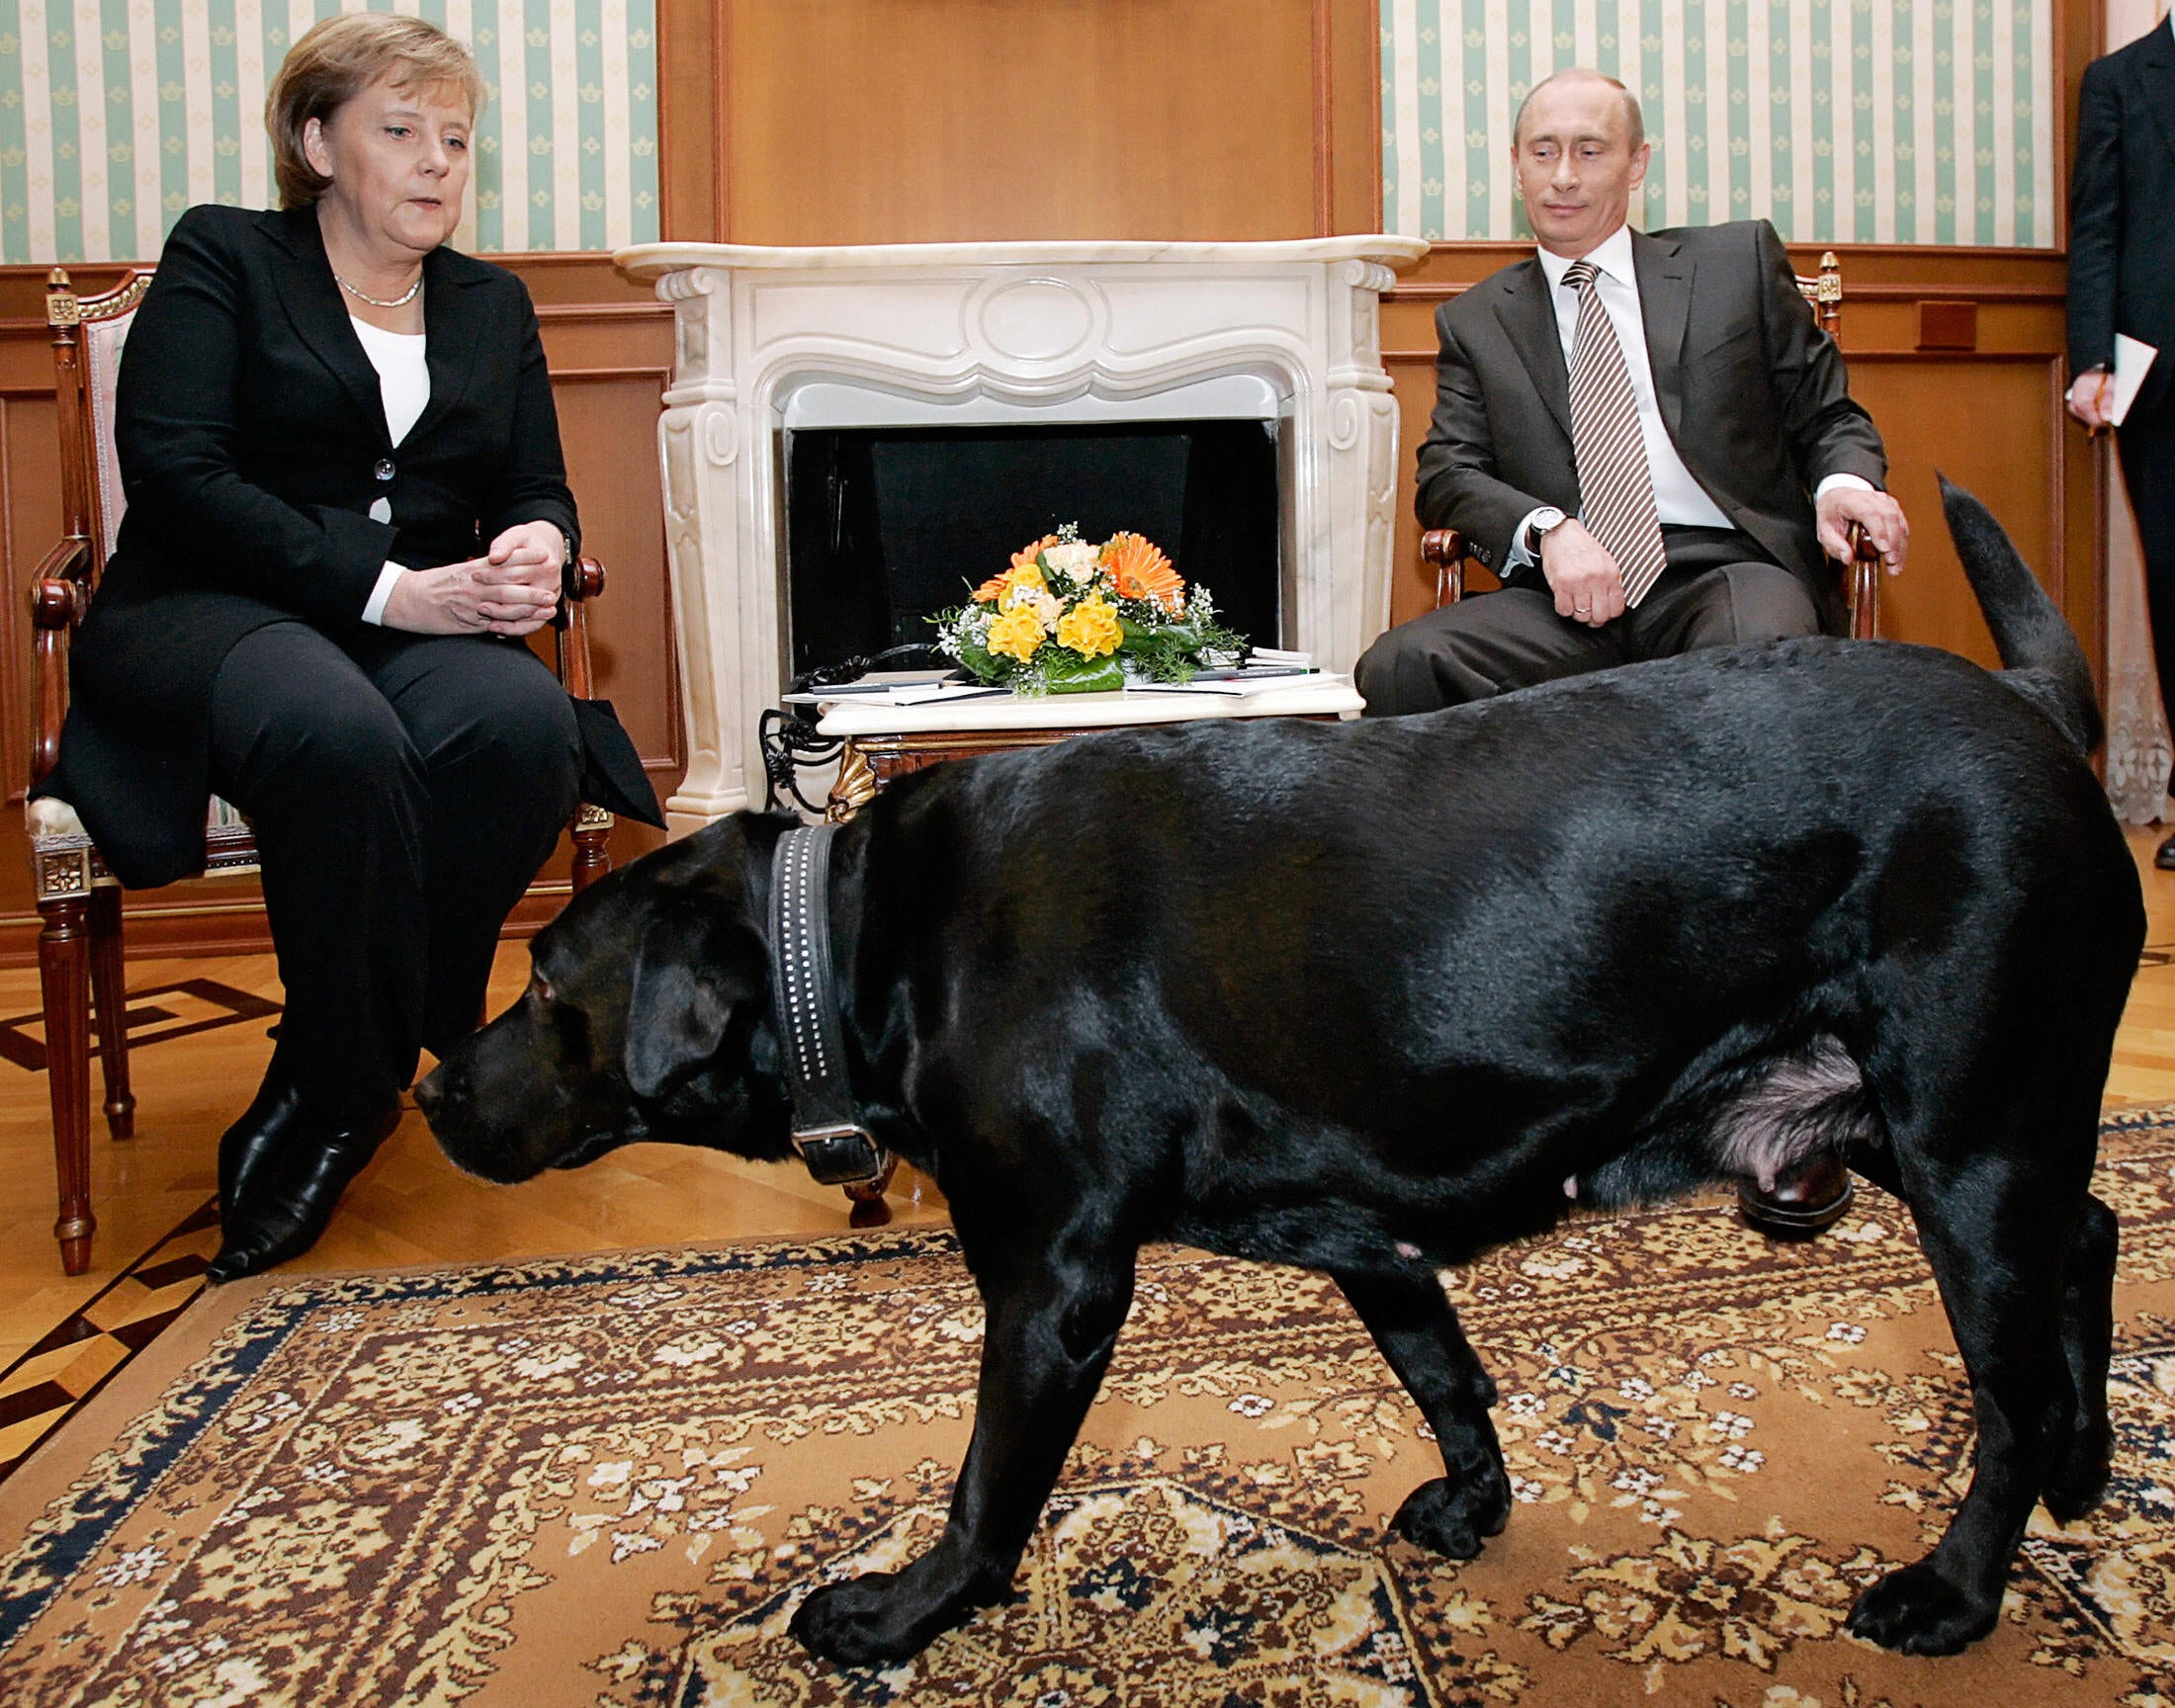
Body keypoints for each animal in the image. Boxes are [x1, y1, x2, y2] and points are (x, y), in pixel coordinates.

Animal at [419, 478, 2139, 1662]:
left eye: (544, 991)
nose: (432, 1087)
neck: (861, 932)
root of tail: (2038, 714)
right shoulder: (1364, 1231)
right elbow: (1444, 1375)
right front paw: (1476, 1503)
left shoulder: (1054, 1286)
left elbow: (991, 1488)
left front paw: (909, 1611)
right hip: (1953, 1133)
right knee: (2094, 1238)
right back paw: (2090, 1466)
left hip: (1966, 1137)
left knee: (2011, 1385)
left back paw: (1962, 1585)